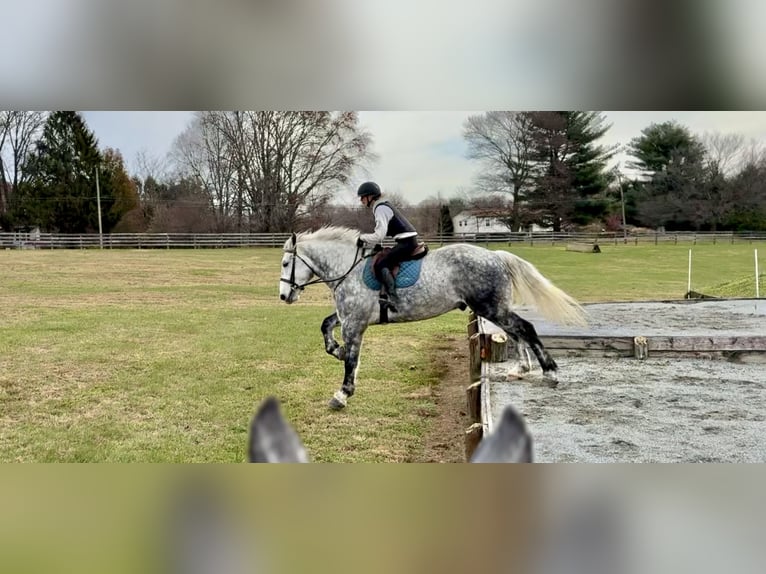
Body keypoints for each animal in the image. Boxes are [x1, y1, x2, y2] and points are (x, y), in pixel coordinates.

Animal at [278, 226, 586, 410]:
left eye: (285, 263)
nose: (283, 297)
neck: (347, 268)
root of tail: (496, 255)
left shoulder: (354, 322)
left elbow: (351, 360)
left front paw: (342, 393)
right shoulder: (350, 317)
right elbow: (327, 327)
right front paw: (337, 350)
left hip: (490, 308)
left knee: (525, 328)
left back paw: (550, 372)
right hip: (492, 308)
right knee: (515, 332)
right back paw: (520, 370)